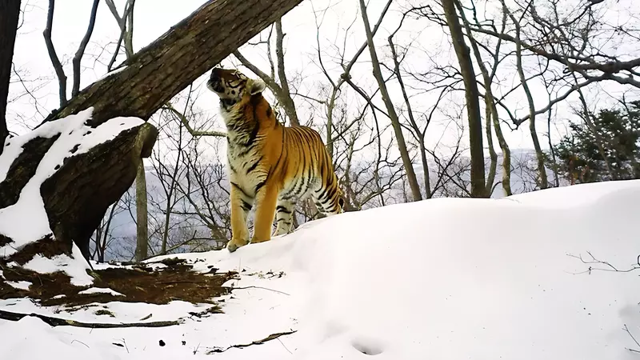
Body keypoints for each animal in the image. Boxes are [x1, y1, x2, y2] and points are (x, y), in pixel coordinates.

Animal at [208, 67, 344, 253]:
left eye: (236, 74)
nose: (214, 69)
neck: (235, 128)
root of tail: (316, 134)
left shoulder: (267, 183)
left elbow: (262, 218)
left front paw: (258, 243)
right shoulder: (238, 183)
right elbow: (237, 216)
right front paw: (237, 242)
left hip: (325, 188)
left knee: (336, 210)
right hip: (286, 197)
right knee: (285, 221)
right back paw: (279, 235)